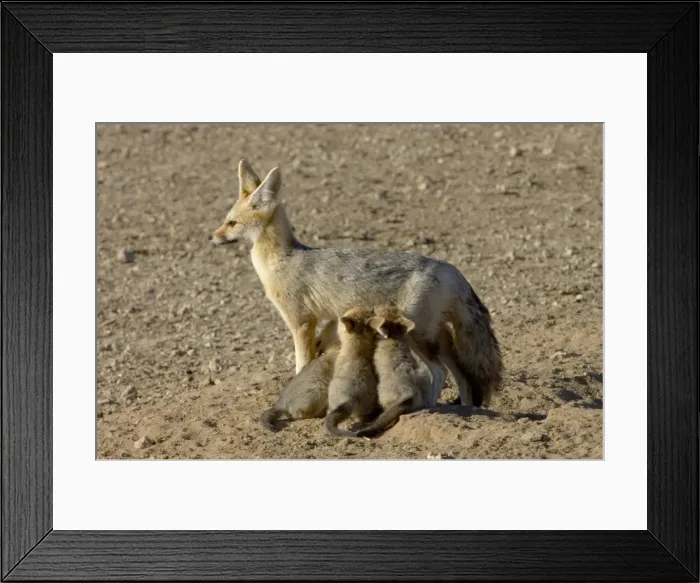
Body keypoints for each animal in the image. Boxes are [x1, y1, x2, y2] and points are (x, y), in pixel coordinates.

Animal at [210, 159, 502, 407]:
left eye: (231, 223)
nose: (211, 237)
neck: (283, 259)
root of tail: (449, 268)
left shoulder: (301, 323)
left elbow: (301, 364)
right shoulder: (326, 322)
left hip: (417, 335)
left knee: (440, 371)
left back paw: (429, 408)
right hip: (437, 337)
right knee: (463, 375)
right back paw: (467, 410)